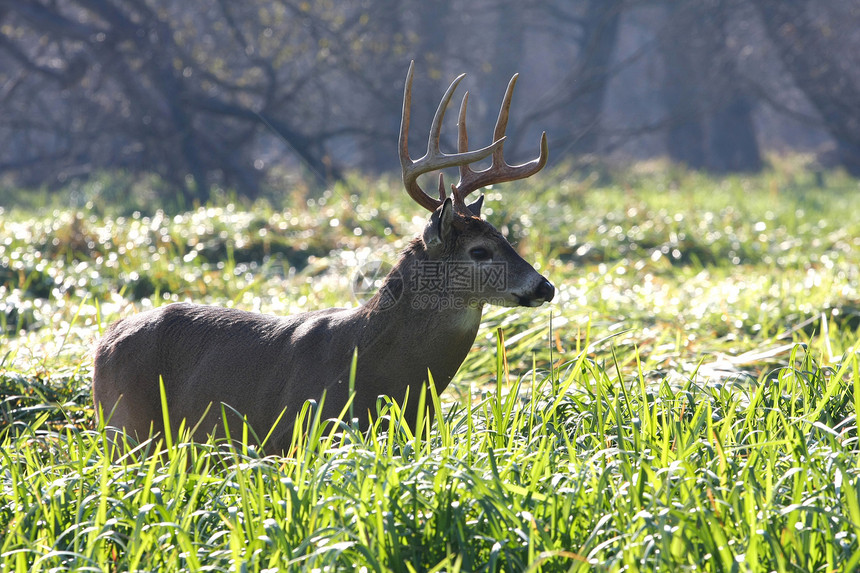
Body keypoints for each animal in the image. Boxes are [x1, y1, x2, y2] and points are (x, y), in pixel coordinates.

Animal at [92, 62, 552, 452]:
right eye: (480, 251)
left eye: (506, 237)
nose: (545, 286)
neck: (372, 369)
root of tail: (103, 343)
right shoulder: (290, 437)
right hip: (126, 428)